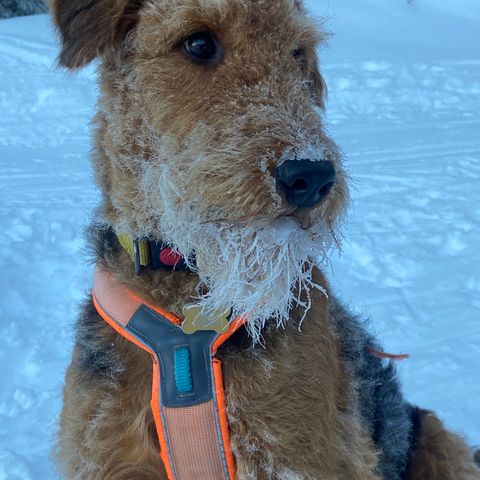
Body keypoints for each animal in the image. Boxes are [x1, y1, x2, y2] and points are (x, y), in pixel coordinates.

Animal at [50, 0, 478, 480]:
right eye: (199, 43)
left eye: (297, 52)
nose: (311, 176)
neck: (189, 295)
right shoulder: (110, 455)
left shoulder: (296, 454)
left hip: (441, 443)